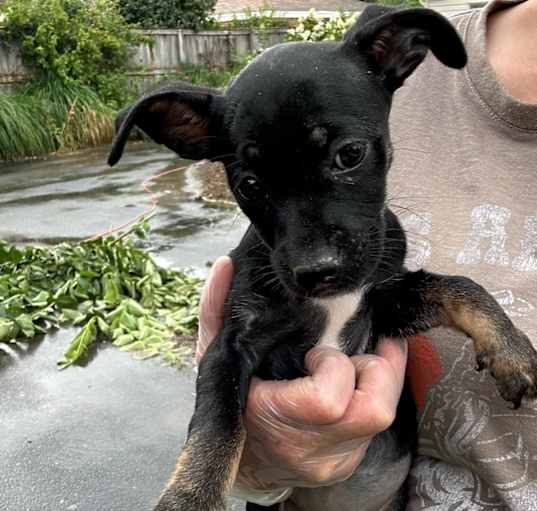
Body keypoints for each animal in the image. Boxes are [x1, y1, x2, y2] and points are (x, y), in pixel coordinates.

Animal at [108, 5, 536, 511]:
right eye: (248, 185)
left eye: (349, 154)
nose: (318, 272)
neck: (329, 304)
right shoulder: (231, 344)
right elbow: (216, 427)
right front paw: (189, 498)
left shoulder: (384, 305)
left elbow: (456, 285)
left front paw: (511, 349)